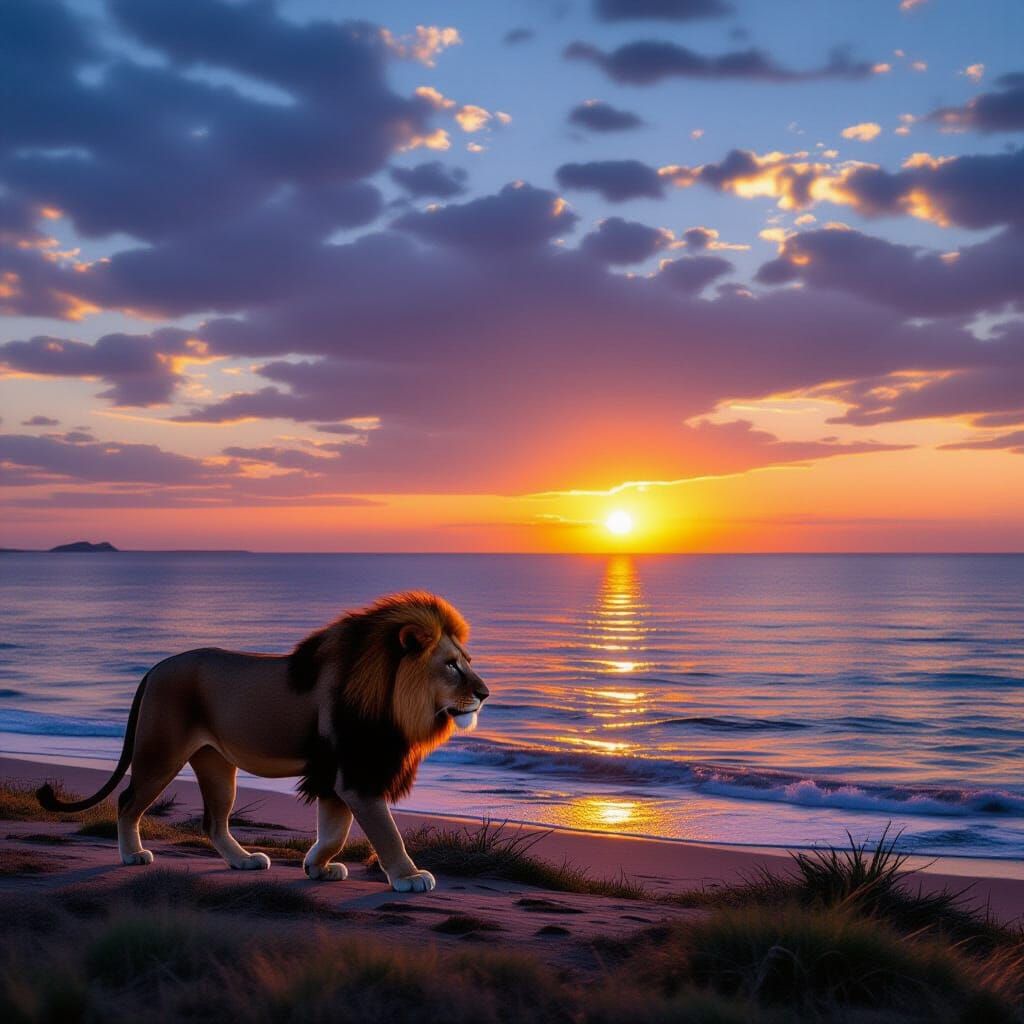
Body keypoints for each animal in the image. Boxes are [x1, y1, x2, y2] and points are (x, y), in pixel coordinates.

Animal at [37, 591, 488, 893]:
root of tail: (156, 666)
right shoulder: (355, 773)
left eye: (468, 661)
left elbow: (335, 831)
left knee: (213, 821)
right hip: (160, 752)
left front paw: (317, 868)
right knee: (128, 801)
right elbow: (386, 831)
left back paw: (243, 861)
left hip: (216, 765)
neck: (395, 698)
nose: (485, 693)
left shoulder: (335, 773)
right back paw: (132, 855)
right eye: (451, 666)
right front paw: (409, 876)